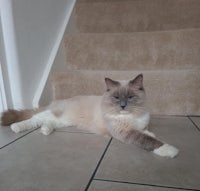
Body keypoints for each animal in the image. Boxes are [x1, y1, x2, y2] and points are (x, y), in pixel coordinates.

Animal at [0, 74, 178, 157]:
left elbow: (147, 132)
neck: (131, 115)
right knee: (33, 119)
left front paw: (151, 133)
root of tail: (56, 101)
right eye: (116, 97)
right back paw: (16, 127)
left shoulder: (139, 125)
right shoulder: (126, 133)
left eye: (130, 97)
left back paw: (45, 131)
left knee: (46, 123)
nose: (122, 106)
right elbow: (148, 140)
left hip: (62, 121)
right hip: (54, 113)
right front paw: (169, 150)